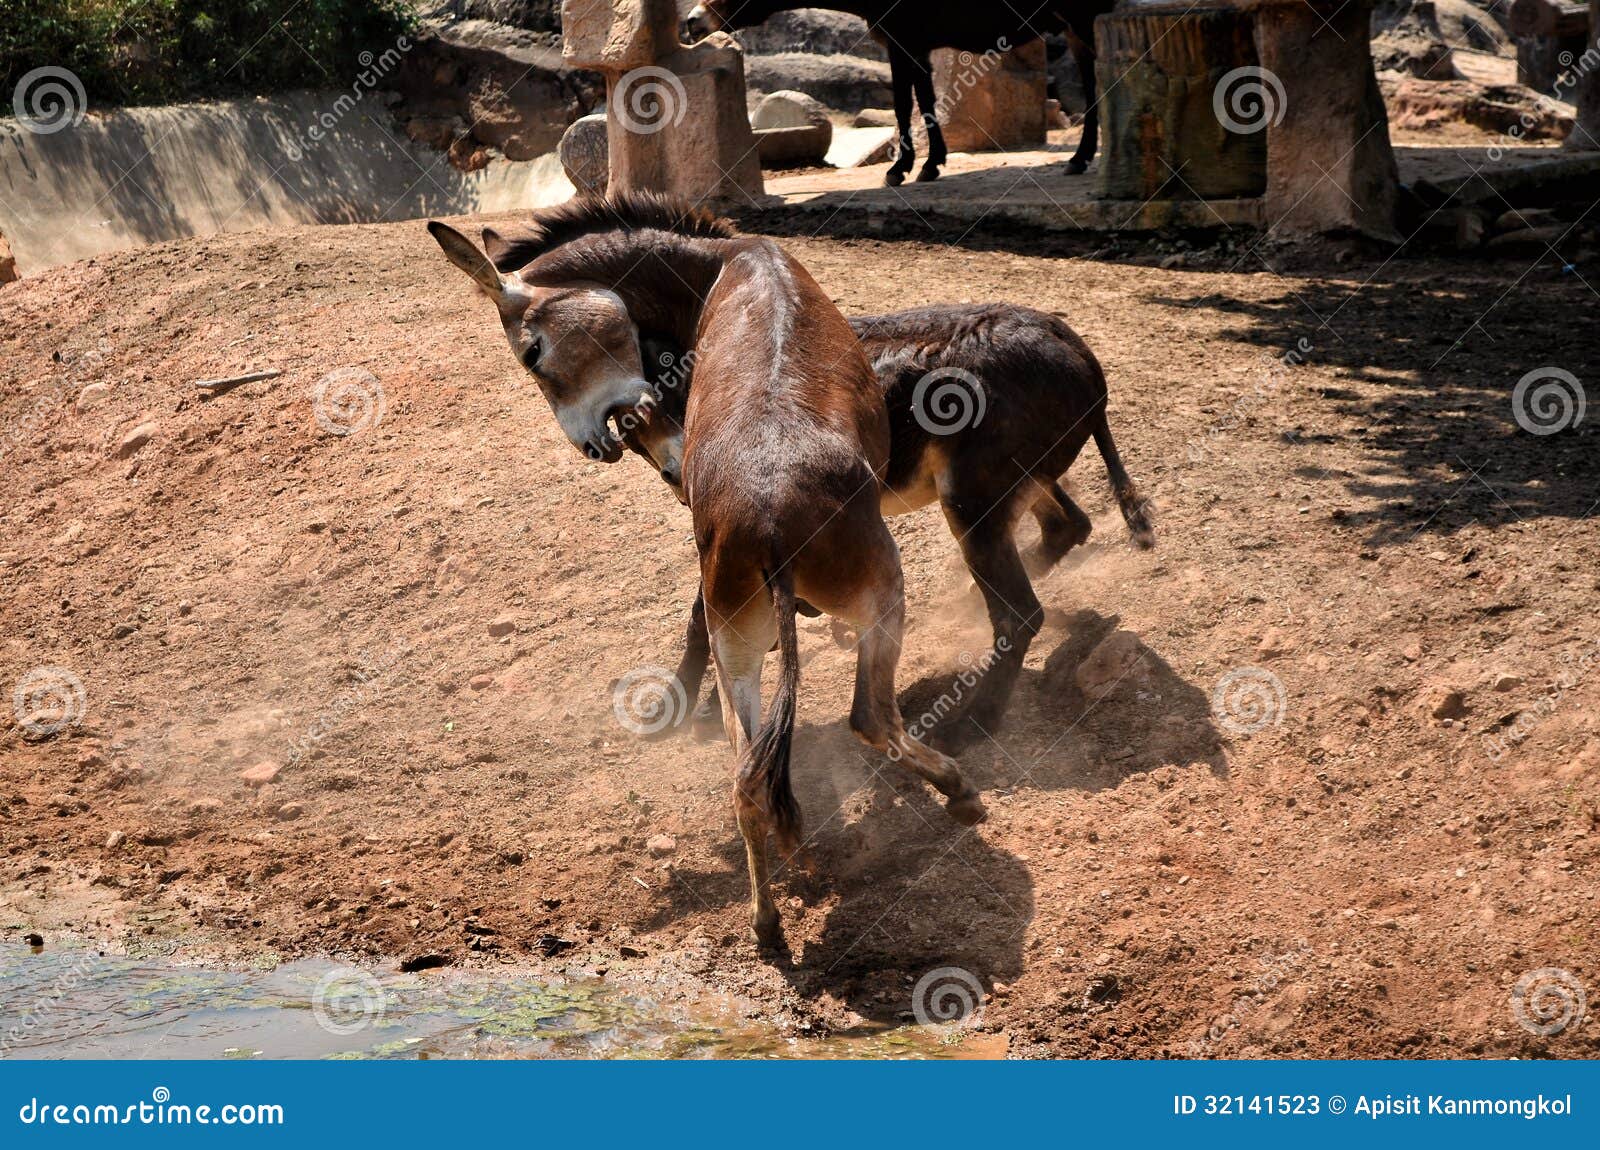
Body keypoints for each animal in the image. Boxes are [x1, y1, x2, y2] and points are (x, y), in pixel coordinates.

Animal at [427, 193, 985, 949]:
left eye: (532, 353)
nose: (592, 446)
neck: (731, 261)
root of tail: (769, 512)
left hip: (738, 645)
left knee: (746, 772)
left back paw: (772, 915)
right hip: (882, 594)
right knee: (870, 715)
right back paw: (957, 793)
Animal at [684, 0, 1112, 185]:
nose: (691, 20)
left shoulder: (901, 41)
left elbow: (907, 104)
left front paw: (902, 168)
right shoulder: (912, 46)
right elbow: (923, 101)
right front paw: (928, 164)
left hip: (1082, 17)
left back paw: (1083, 158)